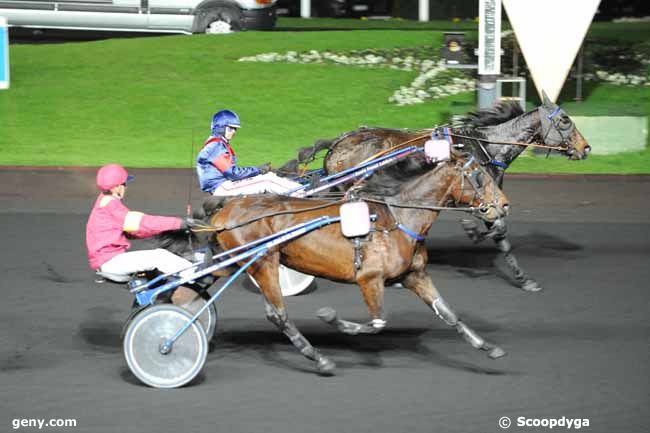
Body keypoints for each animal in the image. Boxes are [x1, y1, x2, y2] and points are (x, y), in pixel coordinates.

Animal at [205, 150, 508, 372]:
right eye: (479, 176)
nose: (504, 205)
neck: (399, 219)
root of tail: (227, 208)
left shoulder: (415, 275)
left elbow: (449, 313)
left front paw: (488, 346)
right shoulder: (369, 279)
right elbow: (377, 324)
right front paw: (333, 320)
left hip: (236, 262)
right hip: (263, 261)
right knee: (278, 314)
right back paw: (319, 358)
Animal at [276, 95, 588, 292]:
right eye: (565, 121)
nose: (585, 148)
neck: (485, 147)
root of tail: (337, 143)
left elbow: (496, 228)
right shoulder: (479, 194)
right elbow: (499, 231)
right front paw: (523, 278)